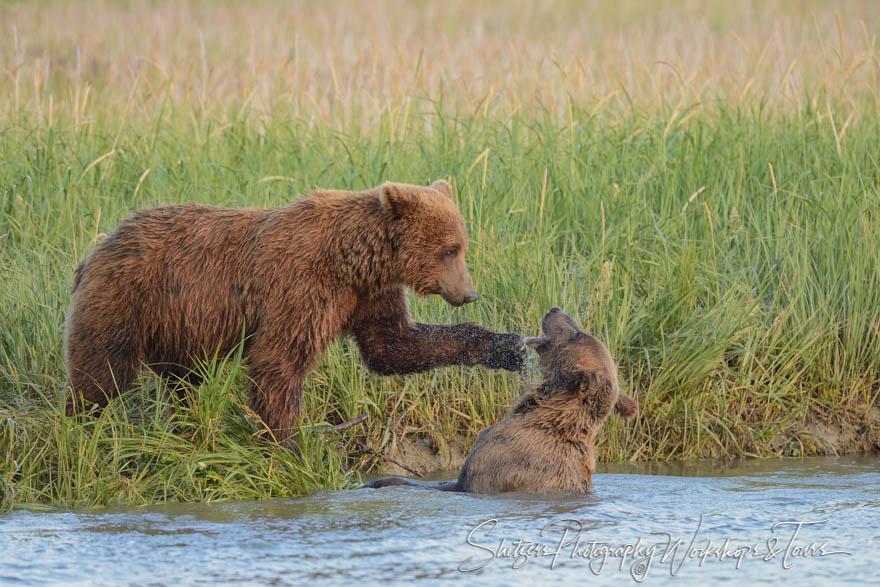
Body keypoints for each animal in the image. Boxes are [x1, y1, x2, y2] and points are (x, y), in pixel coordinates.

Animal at [67, 179, 528, 440]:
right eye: (450, 249)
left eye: (462, 246)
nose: (469, 293)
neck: (352, 260)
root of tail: (97, 248)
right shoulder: (302, 286)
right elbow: (278, 361)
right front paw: (288, 441)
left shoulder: (367, 294)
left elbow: (393, 346)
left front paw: (506, 347)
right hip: (128, 299)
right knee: (101, 371)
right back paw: (82, 423)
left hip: (178, 323)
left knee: (184, 378)